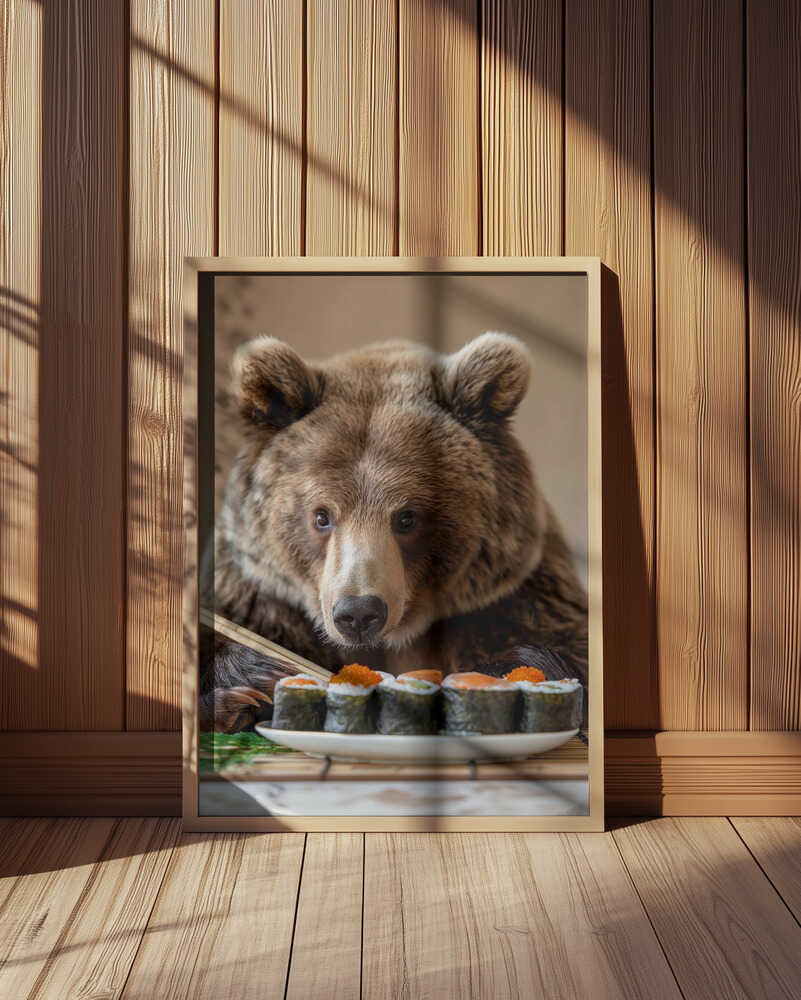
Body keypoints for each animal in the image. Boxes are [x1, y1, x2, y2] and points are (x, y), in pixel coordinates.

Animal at [200, 332, 588, 732]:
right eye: (322, 516)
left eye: (407, 518)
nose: (358, 613)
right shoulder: (260, 594)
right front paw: (255, 677)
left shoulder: (513, 593)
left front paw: (501, 674)